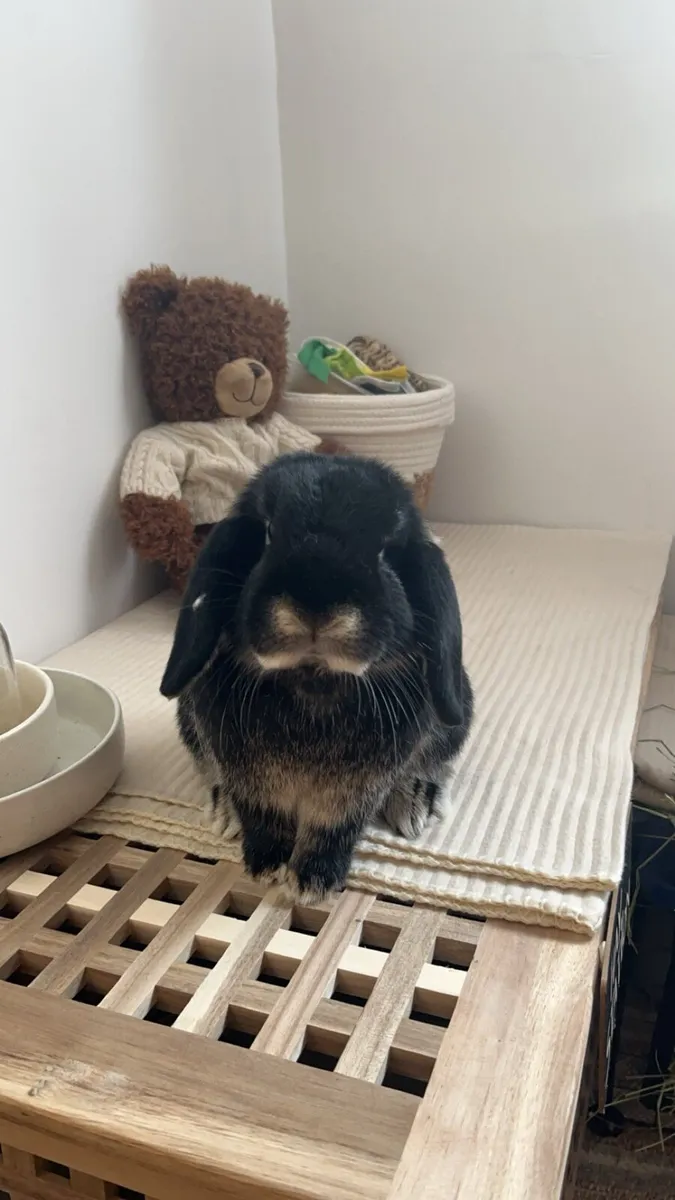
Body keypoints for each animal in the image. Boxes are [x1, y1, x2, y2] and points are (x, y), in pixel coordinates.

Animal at [160, 451, 473, 901]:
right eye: (268, 534)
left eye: (385, 551)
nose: (316, 604)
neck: (313, 678)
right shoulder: (249, 776)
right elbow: (263, 814)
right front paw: (266, 866)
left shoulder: (353, 791)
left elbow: (332, 826)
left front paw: (313, 882)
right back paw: (225, 812)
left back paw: (415, 802)